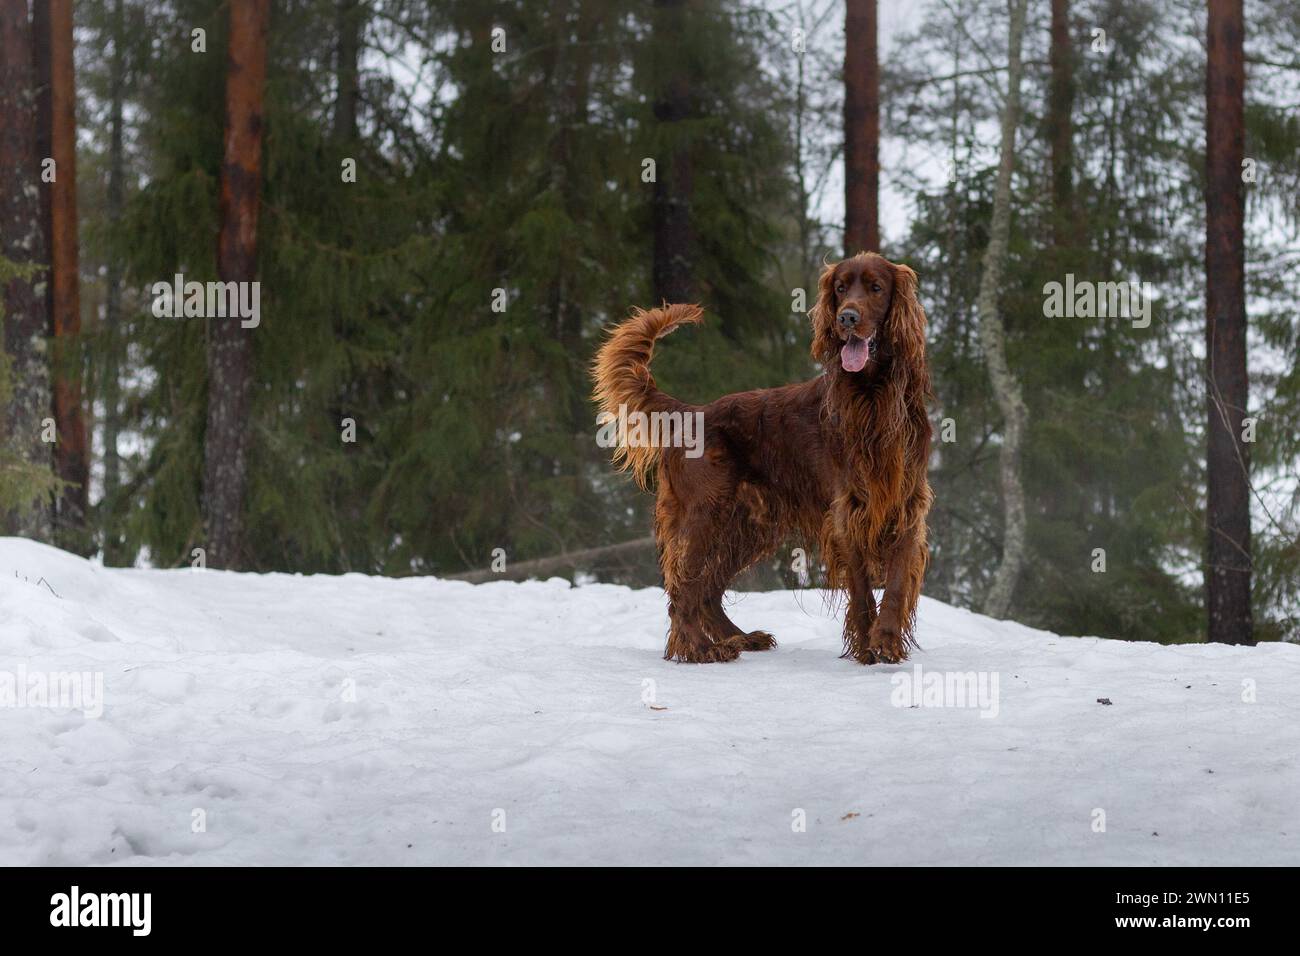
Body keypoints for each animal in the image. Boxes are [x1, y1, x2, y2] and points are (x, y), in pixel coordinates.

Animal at [595, 257, 930, 671]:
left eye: (876, 288)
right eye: (840, 288)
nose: (847, 318)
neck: (872, 396)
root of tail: (691, 412)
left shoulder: (906, 505)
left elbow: (896, 583)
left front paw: (885, 643)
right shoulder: (848, 511)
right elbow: (863, 588)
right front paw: (869, 647)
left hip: (746, 525)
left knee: (706, 590)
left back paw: (738, 638)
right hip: (707, 513)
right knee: (684, 590)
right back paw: (699, 649)